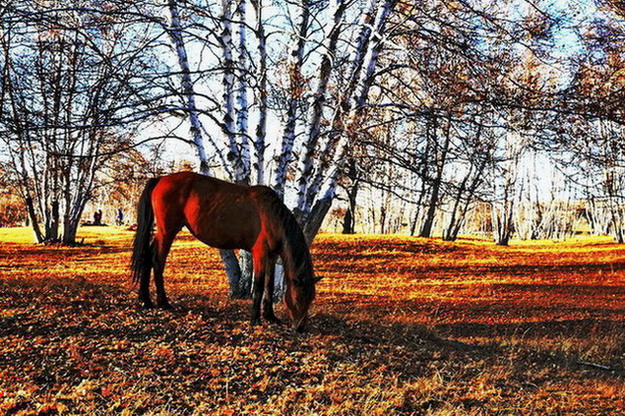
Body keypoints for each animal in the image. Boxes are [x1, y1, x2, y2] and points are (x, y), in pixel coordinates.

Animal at [130, 171, 320, 332]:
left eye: (311, 298)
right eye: (298, 298)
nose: (301, 328)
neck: (272, 216)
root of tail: (161, 179)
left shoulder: (272, 255)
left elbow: (269, 284)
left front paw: (270, 316)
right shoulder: (259, 253)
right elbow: (259, 285)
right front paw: (255, 320)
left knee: (147, 257)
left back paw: (146, 300)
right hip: (167, 231)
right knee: (157, 261)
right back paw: (163, 302)